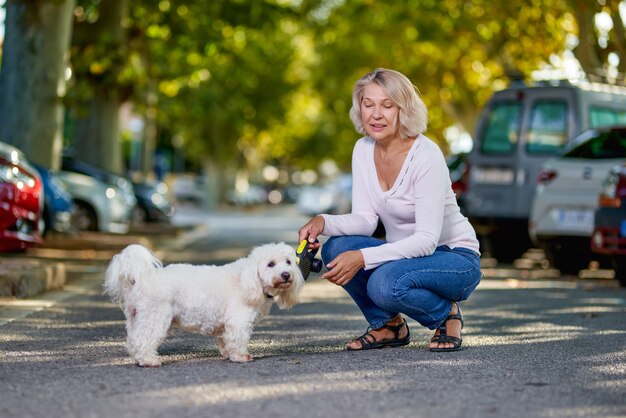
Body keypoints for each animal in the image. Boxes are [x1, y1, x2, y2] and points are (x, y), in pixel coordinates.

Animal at [103, 242, 304, 366]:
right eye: (271, 264)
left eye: (288, 262)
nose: (286, 275)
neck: (247, 279)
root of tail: (140, 279)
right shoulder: (238, 322)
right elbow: (238, 340)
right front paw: (240, 357)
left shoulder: (226, 325)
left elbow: (225, 340)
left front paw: (228, 354)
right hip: (155, 317)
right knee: (143, 340)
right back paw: (149, 361)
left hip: (136, 318)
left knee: (133, 340)